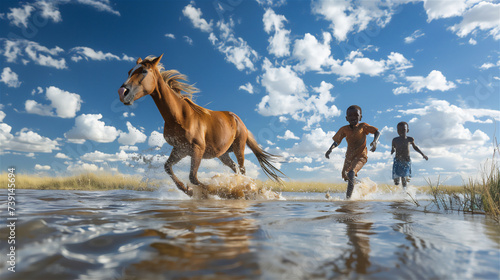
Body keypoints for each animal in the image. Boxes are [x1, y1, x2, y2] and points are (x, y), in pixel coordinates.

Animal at [115, 54, 284, 195]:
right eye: (129, 71)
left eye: (144, 71)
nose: (122, 92)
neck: (180, 116)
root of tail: (237, 119)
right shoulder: (180, 150)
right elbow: (168, 168)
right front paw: (187, 190)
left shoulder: (197, 149)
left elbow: (193, 178)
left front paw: (210, 191)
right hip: (223, 154)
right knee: (235, 168)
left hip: (239, 147)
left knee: (242, 170)